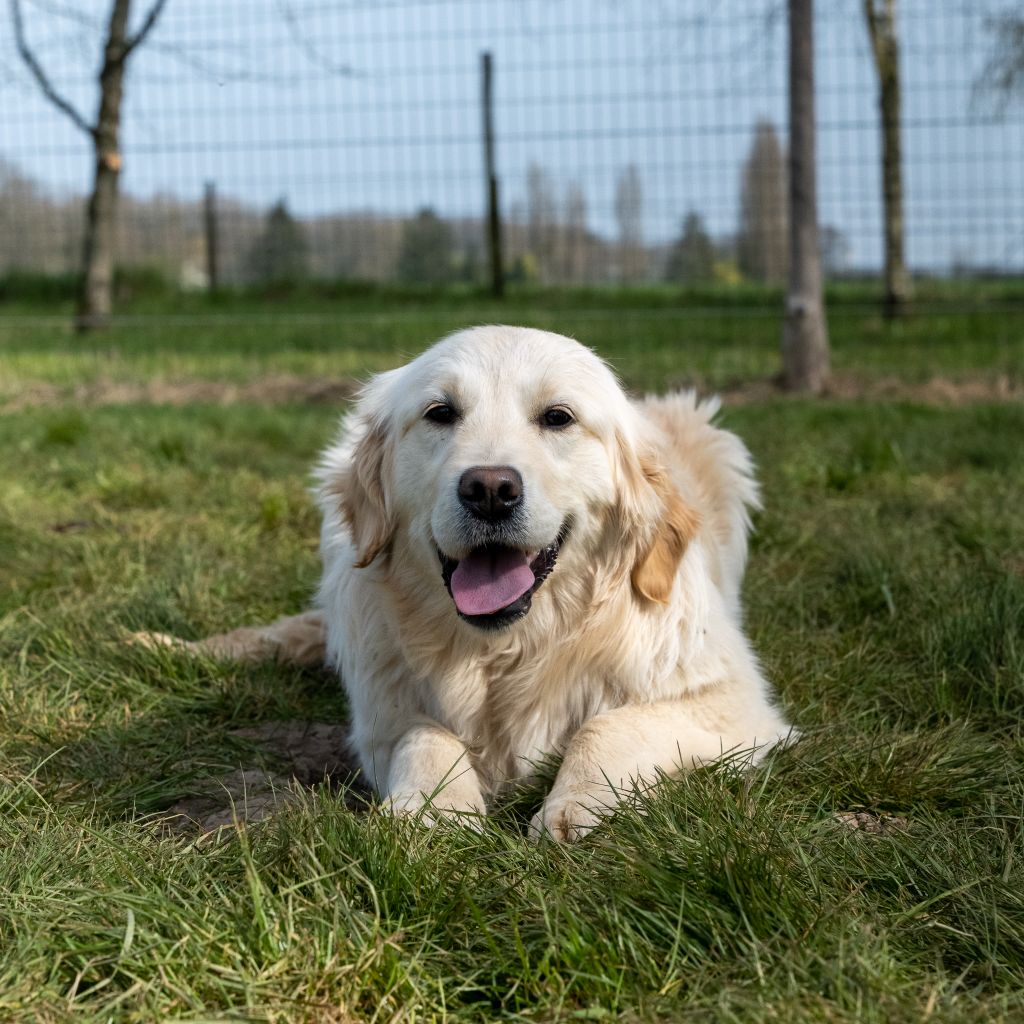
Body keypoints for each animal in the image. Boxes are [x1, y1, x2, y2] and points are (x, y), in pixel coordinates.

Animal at [144, 327, 786, 839]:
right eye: (440, 413)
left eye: (558, 416)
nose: (490, 490)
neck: (502, 650)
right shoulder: (383, 718)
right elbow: (428, 735)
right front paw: (433, 810)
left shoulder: (731, 702)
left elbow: (608, 724)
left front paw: (574, 807)